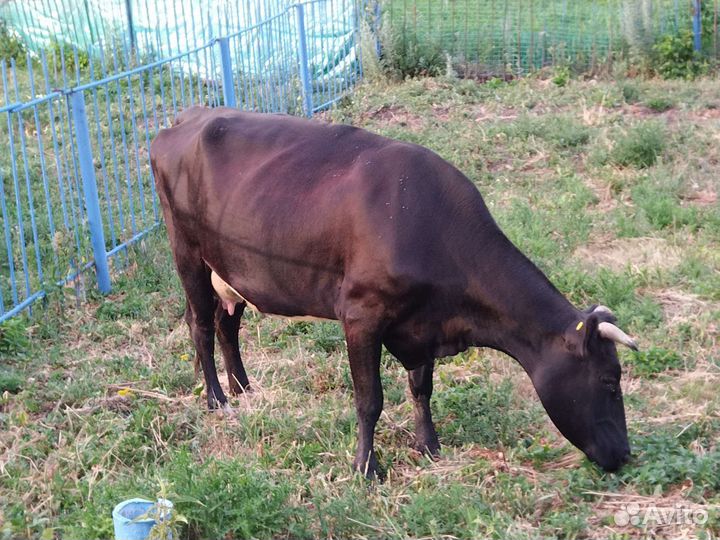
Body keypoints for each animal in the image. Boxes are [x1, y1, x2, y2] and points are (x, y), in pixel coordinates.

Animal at [149, 106, 638, 478]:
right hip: (187, 252)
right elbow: (370, 400)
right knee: (200, 325)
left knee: (226, 322)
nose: (625, 455)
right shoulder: (361, 314)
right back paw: (217, 399)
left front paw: (429, 446)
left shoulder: (420, 325)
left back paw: (244, 389)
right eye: (610, 381)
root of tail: (189, 116)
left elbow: (421, 388)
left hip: (230, 267)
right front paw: (366, 468)